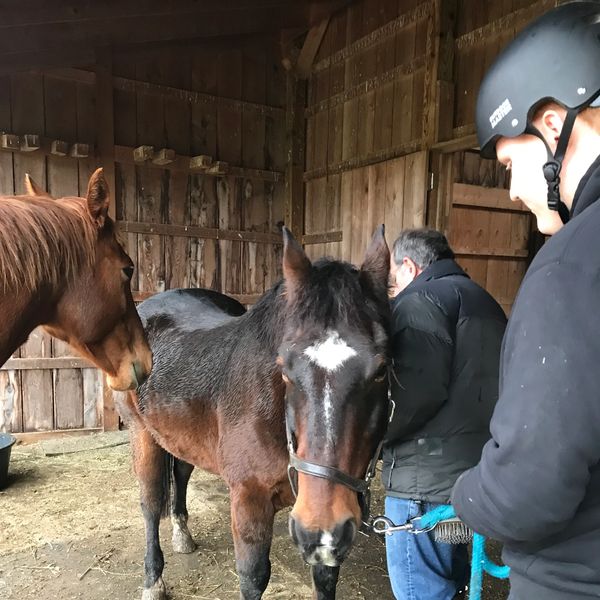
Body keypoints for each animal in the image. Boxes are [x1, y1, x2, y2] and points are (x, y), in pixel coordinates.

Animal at [119, 226, 392, 600]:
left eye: (381, 370)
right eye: (285, 368)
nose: (322, 528)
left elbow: (325, 579)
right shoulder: (250, 499)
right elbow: (253, 577)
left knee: (182, 474)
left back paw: (182, 534)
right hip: (142, 433)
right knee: (150, 503)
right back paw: (153, 581)